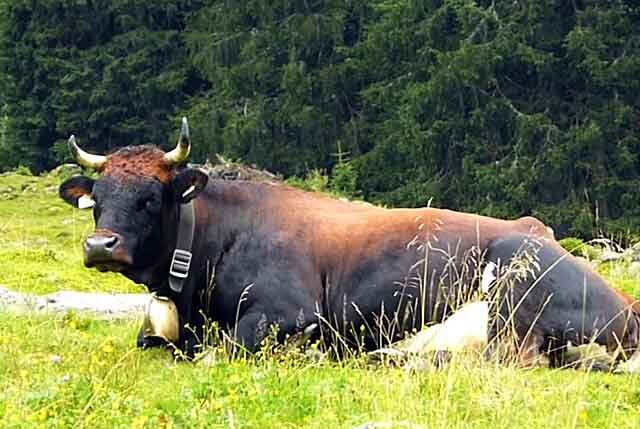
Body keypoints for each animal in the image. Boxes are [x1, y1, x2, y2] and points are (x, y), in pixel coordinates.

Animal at [57, 117, 552, 354]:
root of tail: (531, 225)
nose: (100, 246)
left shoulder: (288, 312)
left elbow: (226, 347)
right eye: (97, 197)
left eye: (151, 198)